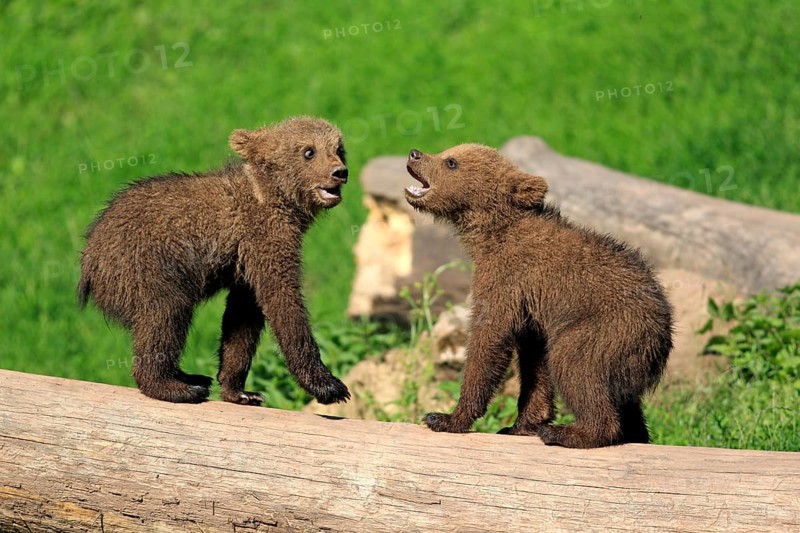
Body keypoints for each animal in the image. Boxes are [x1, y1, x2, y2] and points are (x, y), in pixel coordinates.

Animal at [78, 117, 351, 406]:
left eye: (339, 149)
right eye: (309, 151)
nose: (339, 172)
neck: (278, 200)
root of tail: (89, 259)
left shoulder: (246, 264)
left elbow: (242, 319)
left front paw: (240, 390)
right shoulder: (265, 239)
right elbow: (283, 302)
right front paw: (329, 386)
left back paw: (191, 377)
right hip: (148, 267)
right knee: (164, 316)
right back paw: (176, 388)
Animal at [404, 144, 673, 448]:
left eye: (451, 161)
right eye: (447, 152)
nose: (414, 153)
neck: (491, 232)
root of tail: (663, 337)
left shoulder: (505, 277)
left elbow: (490, 336)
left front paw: (446, 417)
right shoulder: (531, 305)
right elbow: (534, 361)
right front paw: (521, 424)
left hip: (608, 331)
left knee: (575, 365)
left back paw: (568, 432)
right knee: (626, 402)